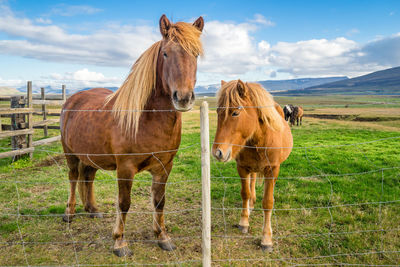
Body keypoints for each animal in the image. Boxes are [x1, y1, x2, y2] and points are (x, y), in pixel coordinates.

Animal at [61, 14, 205, 258]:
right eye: (165, 53)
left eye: (195, 54)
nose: (184, 98)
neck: (146, 120)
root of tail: (73, 99)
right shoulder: (125, 168)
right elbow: (124, 203)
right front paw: (120, 242)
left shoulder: (164, 167)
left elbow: (159, 202)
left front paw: (162, 237)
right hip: (70, 154)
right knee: (73, 178)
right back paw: (69, 213)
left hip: (91, 155)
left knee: (88, 177)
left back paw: (93, 210)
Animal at [212, 79, 294, 253]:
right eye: (218, 112)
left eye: (235, 113)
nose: (217, 152)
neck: (260, 139)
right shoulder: (242, 168)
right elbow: (245, 193)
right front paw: (244, 222)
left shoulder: (272, 170)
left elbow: (268, 202)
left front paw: (267, 239)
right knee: (252, 183)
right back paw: (250, 206)